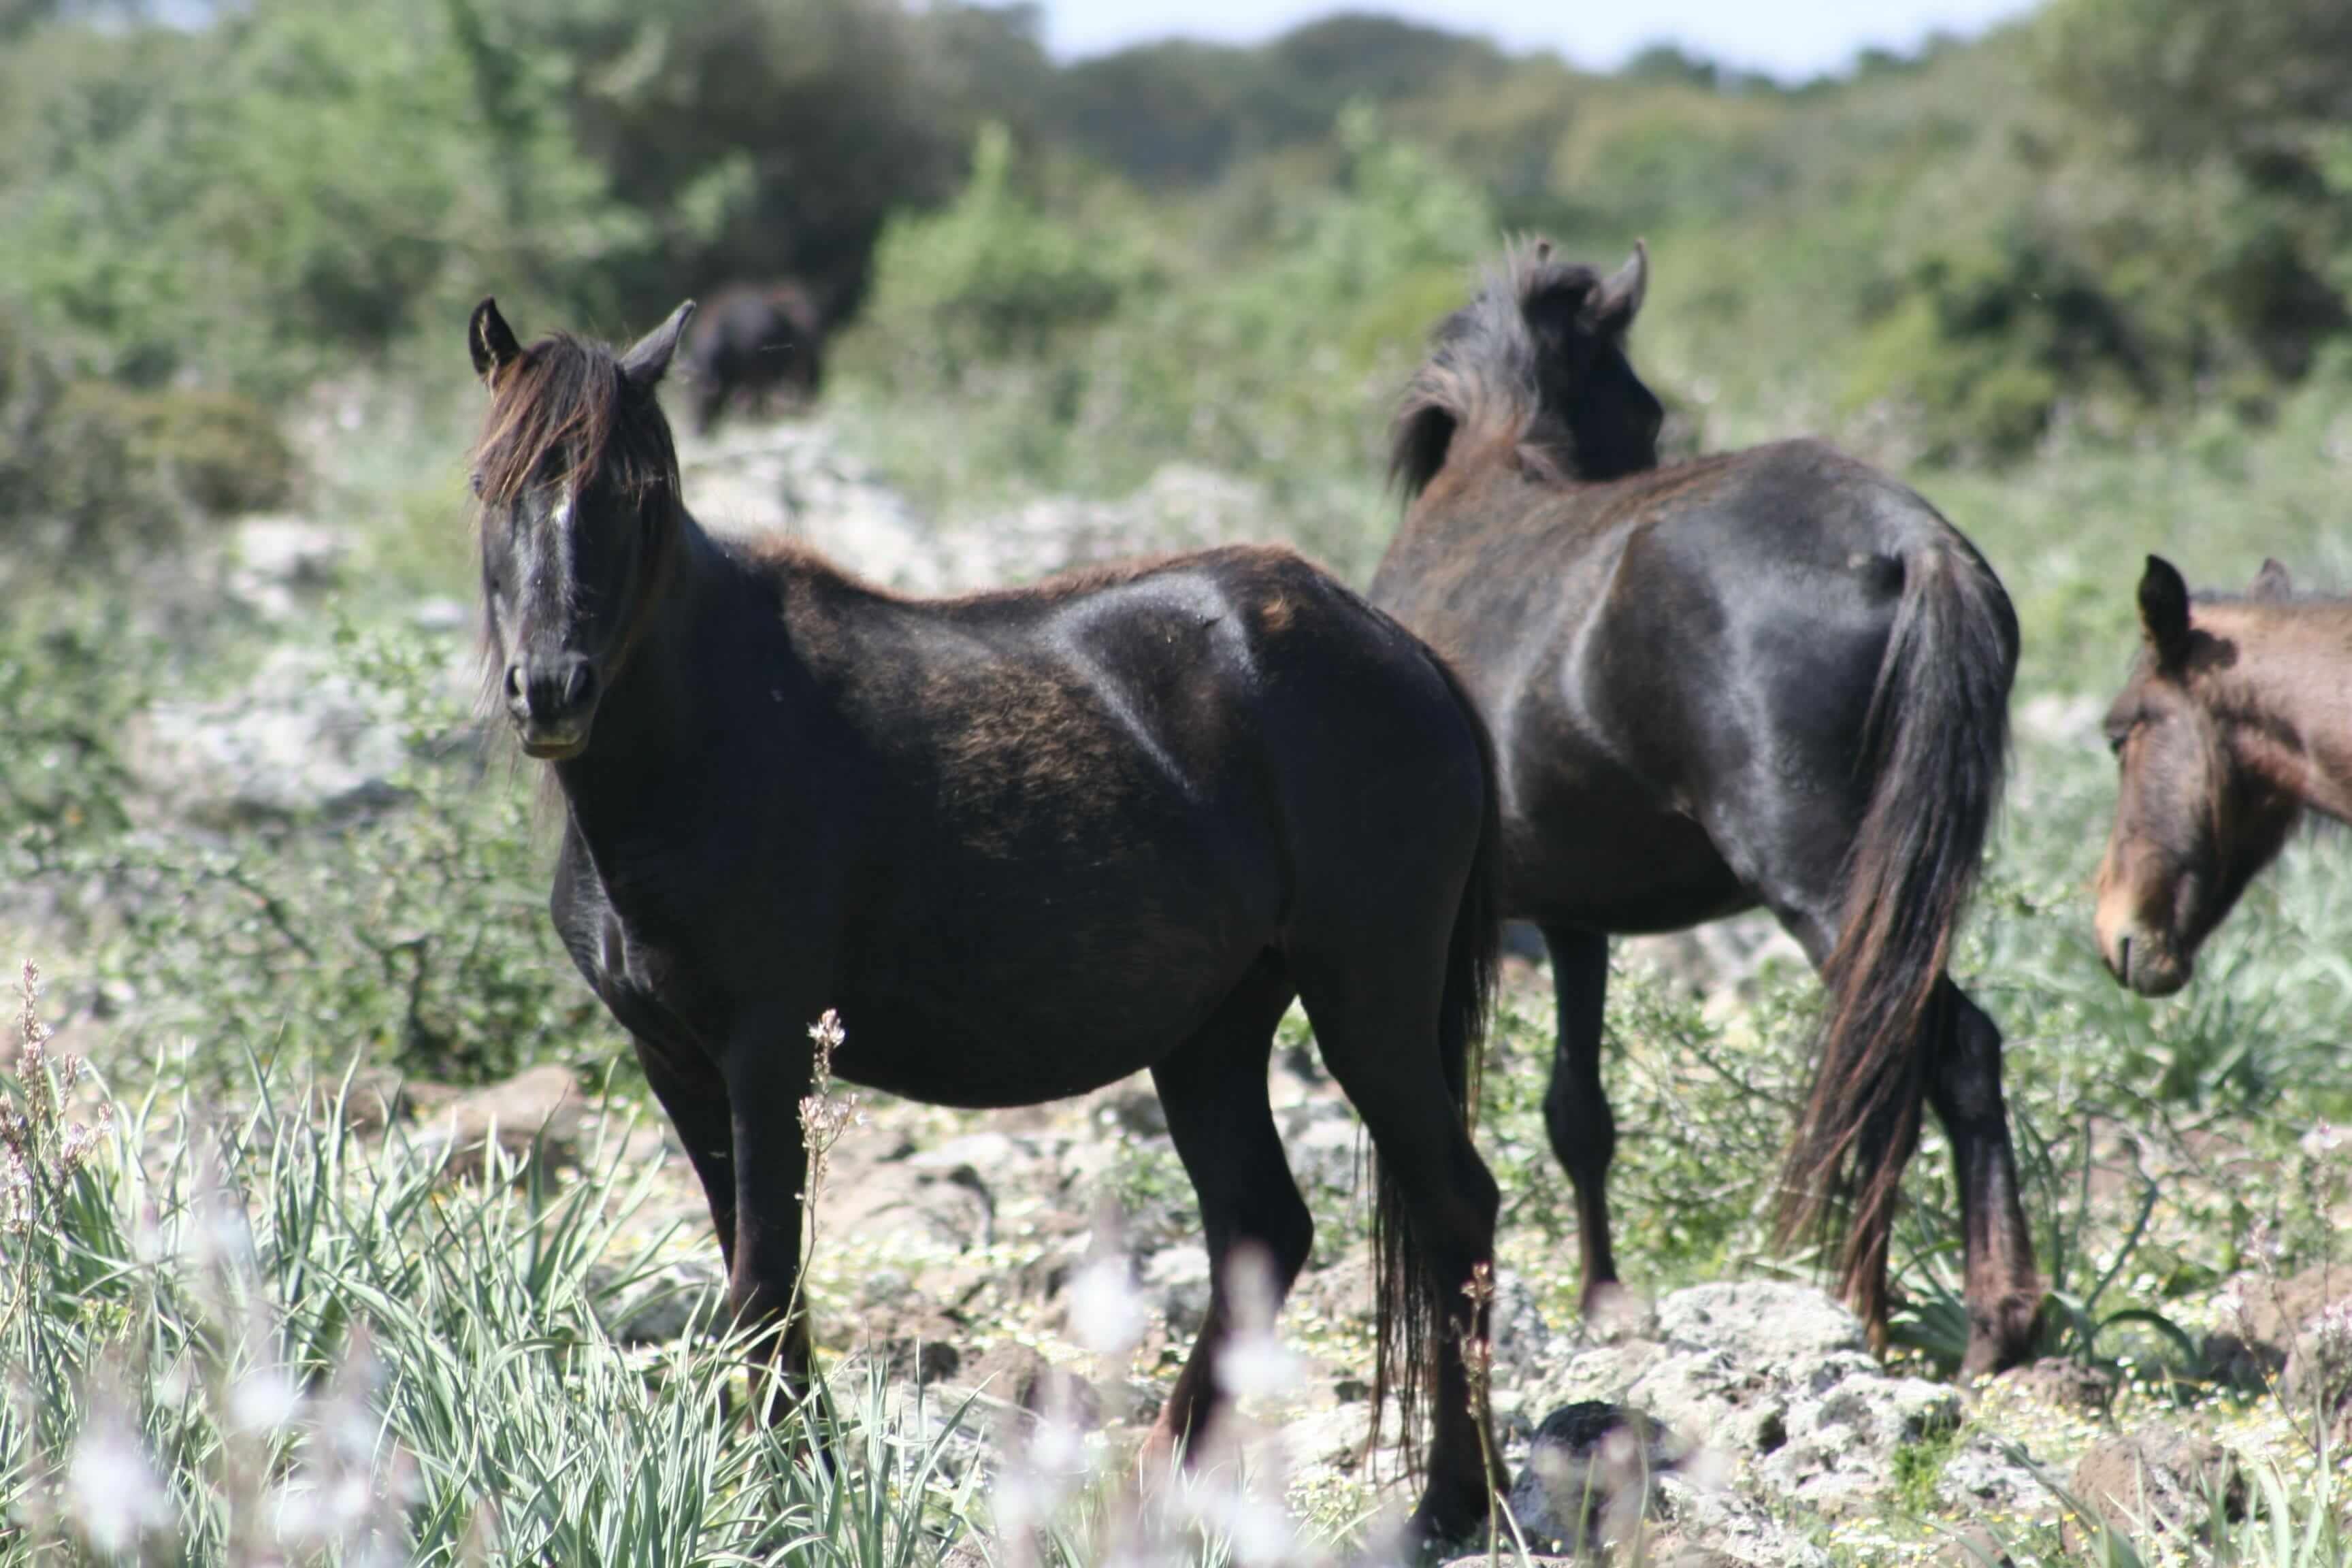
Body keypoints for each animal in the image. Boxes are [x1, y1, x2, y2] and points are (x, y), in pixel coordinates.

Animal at [1373, 240, 2051, 1382]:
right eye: (1645, 409)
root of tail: (1908, 542)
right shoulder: (1575, 915)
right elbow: (1580, 1113)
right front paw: (1604, 1297)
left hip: (1822, 884)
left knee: (1923, 1049)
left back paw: (1929, 1316)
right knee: (1936, 1058)